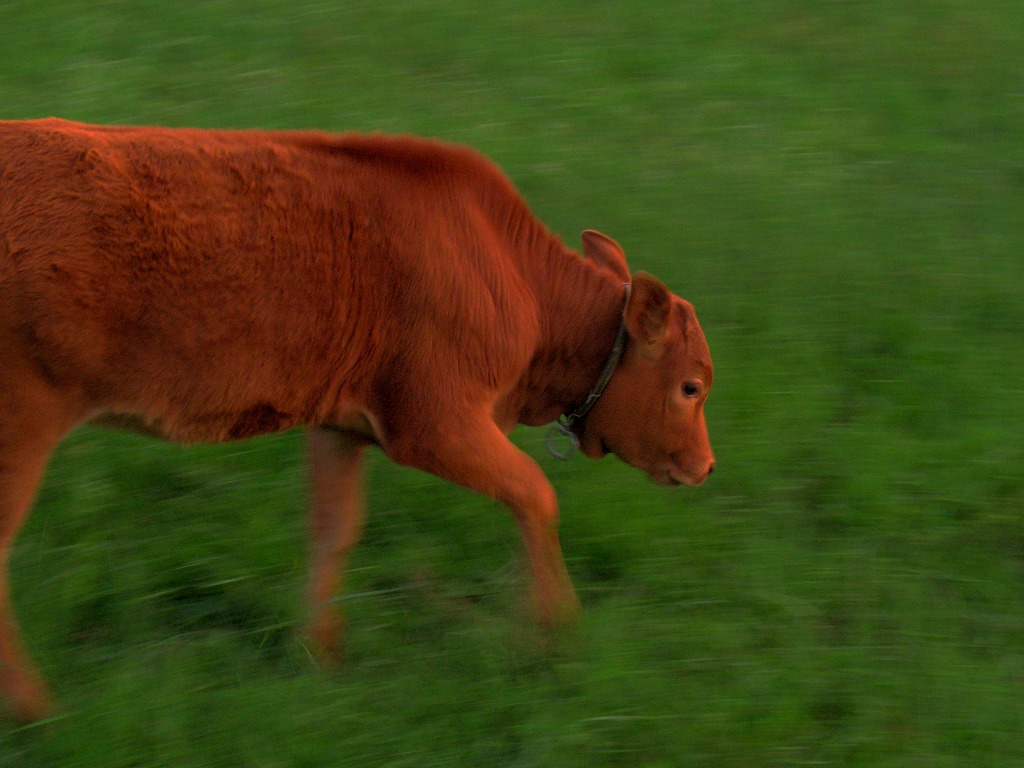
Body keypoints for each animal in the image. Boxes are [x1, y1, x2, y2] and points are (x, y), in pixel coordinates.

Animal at [0, 118, 716, 720]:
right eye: (691, 386)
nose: (706, 466)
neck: (512, 275)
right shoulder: (434, 423)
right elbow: (536, 495)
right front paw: (557, 631)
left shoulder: (341, 425)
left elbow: (333, 530)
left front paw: (321, 657)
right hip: (23, 427)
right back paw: (37, 709)